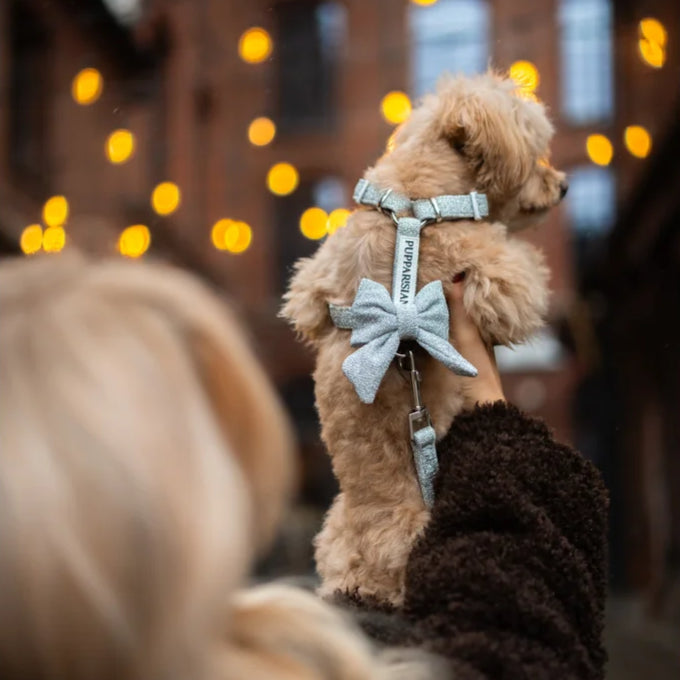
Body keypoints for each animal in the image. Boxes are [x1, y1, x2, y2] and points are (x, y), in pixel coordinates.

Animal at [278, 73, 564, 604]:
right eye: (536, 149)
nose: (563, 185)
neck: (413, 202)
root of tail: (367, 572)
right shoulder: (489, 274)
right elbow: (520, 281)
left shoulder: (313, 280)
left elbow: (308, 302)